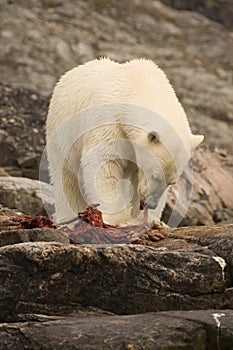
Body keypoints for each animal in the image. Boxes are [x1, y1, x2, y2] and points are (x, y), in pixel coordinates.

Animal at [45, 58, 202, 226]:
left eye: (171, 182)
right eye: (155, 175)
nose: (150, 203)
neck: (135, 86)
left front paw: (149, 220)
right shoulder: (108, 122)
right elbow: (105, 164)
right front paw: (120, 219)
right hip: (62, 134)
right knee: (66, 178)